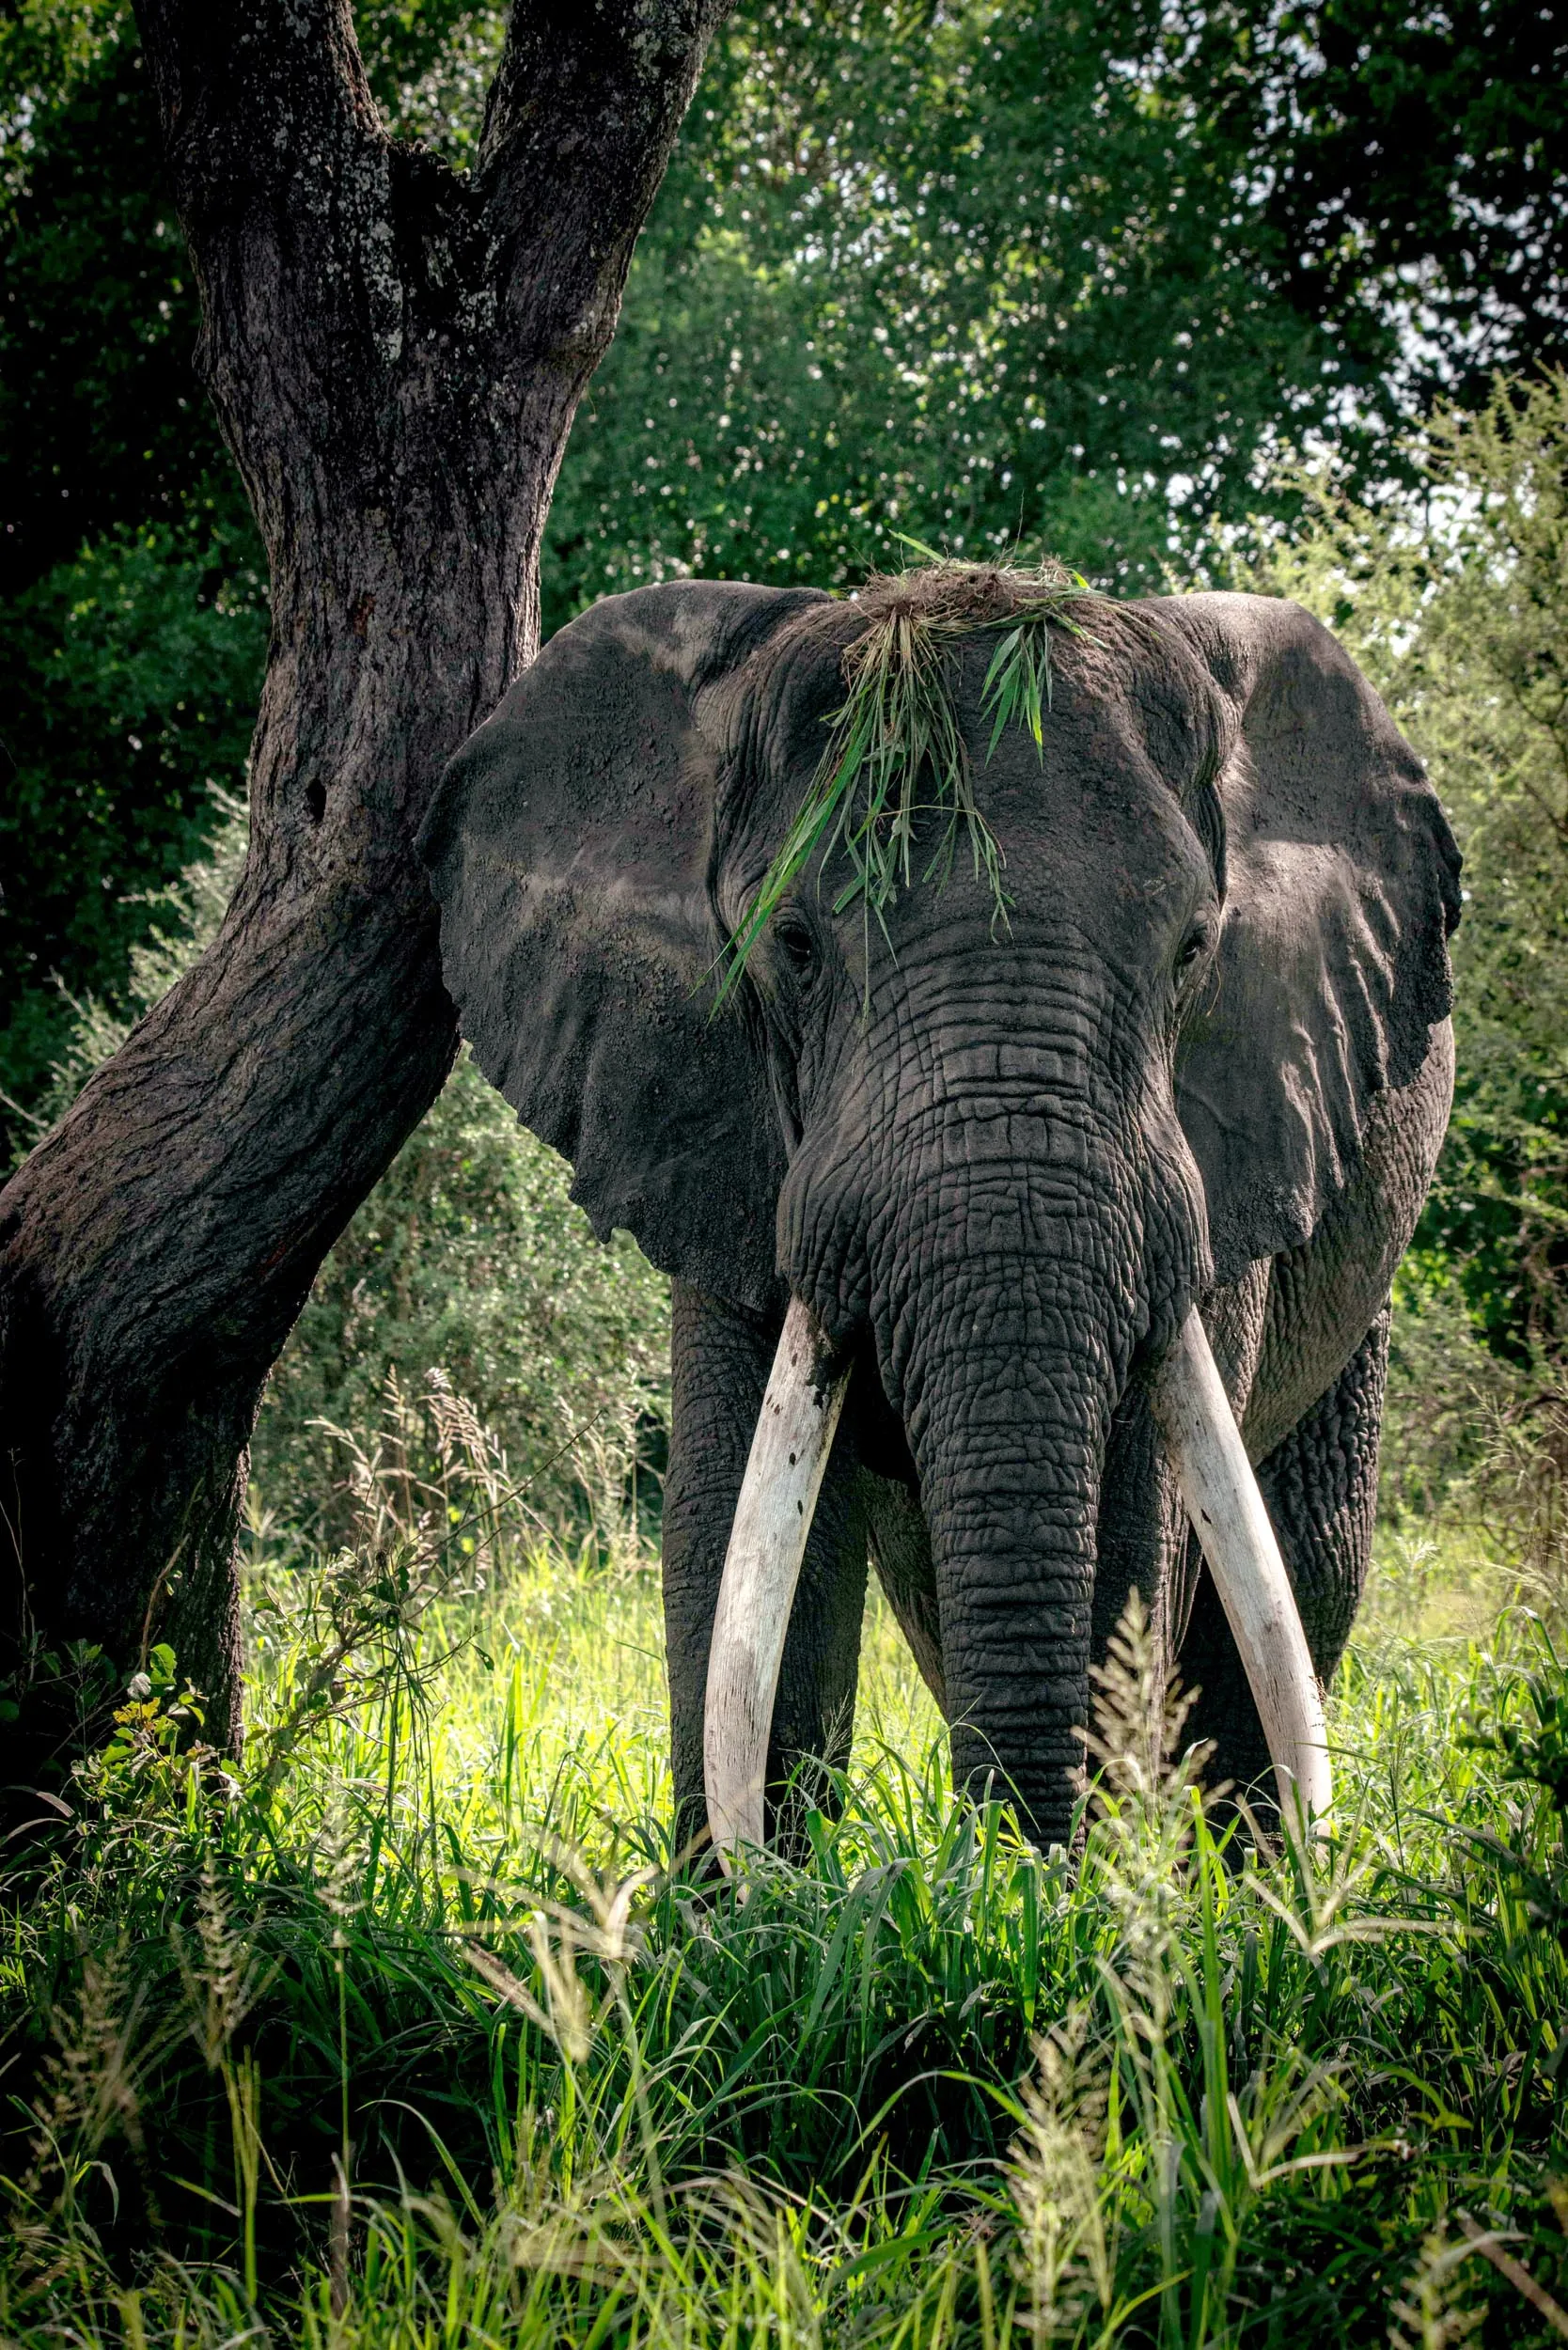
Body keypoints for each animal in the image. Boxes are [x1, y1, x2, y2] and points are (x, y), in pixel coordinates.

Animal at [419, 566, 1459, 1857]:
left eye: (1192, 950)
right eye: (793, 946)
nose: (1022, 1857)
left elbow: (1138, 1522)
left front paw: (1072, 1895)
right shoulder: (711, 1118)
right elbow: (736, 1536)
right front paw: (754, 1902)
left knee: (1297, 1573)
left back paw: (1263, 1880)